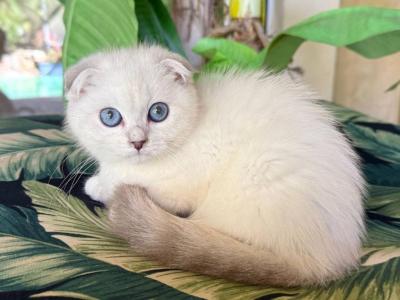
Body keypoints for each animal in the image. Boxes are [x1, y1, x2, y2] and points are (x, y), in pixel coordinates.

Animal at [65, 45, 366, 288]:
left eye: (158, 112)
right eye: (110, 117)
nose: (138, 142)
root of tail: (325, 262)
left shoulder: (180, 187)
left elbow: (124, 182)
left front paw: (100, 184)